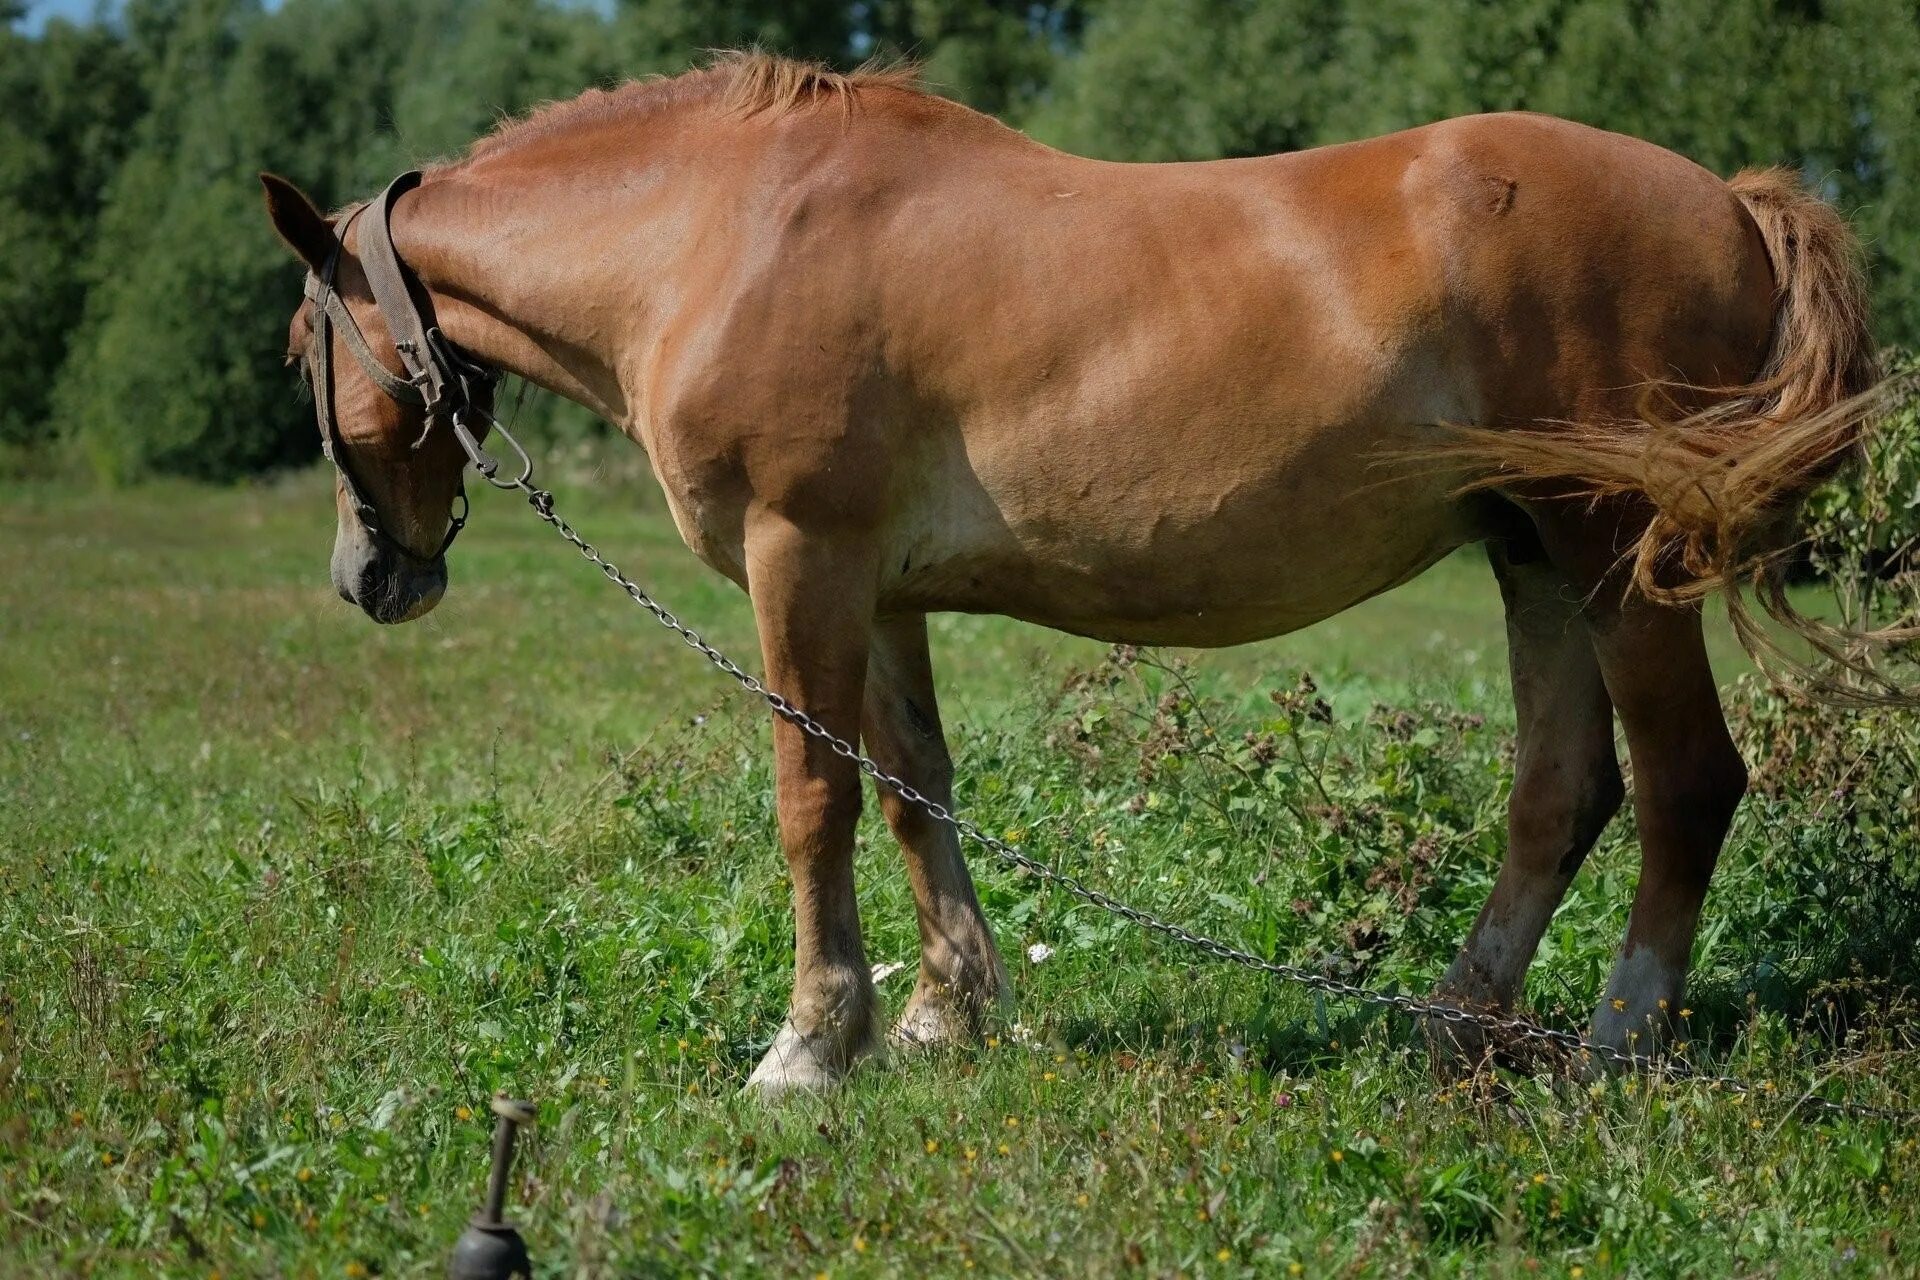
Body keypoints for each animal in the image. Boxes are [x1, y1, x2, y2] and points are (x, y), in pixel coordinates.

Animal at [263, 50, 1881, 1090]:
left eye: (296, 349)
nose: (367, 578)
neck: (718, 236)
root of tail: (1730, 200)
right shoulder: (879, 591)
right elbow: (914, 791)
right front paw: (941, 1015)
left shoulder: (803, 563)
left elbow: (815, 798)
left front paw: (809, 1043)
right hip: (1530, 549)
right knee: (1561, 792)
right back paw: (1460, 1022)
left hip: (1615, 553)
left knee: (1686, 783)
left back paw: (1622, 1036)